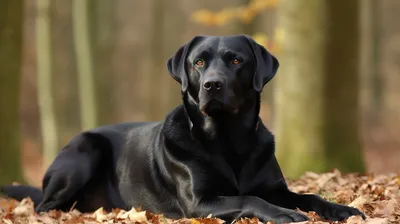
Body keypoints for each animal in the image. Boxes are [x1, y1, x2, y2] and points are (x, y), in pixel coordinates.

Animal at [0, 34, 364, 222]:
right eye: (198, 63)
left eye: (236, 60)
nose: (212, 85)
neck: (228, 139)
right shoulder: (198, 201)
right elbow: (249, 198)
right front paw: (285, 215)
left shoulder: (274, 187)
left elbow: (309, 195)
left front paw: (342, 209)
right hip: (85, 149)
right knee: (43, 206)